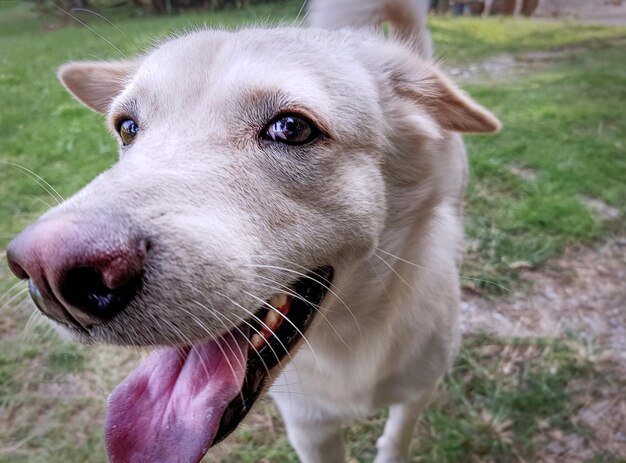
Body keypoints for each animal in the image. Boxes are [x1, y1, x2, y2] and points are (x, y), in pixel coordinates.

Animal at [7, 0, 500, 462]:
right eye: (127, 128)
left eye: (291, 127)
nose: (48, 274)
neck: (349, 342)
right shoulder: (310, 429)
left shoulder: (417, 394)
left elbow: (396, 441)